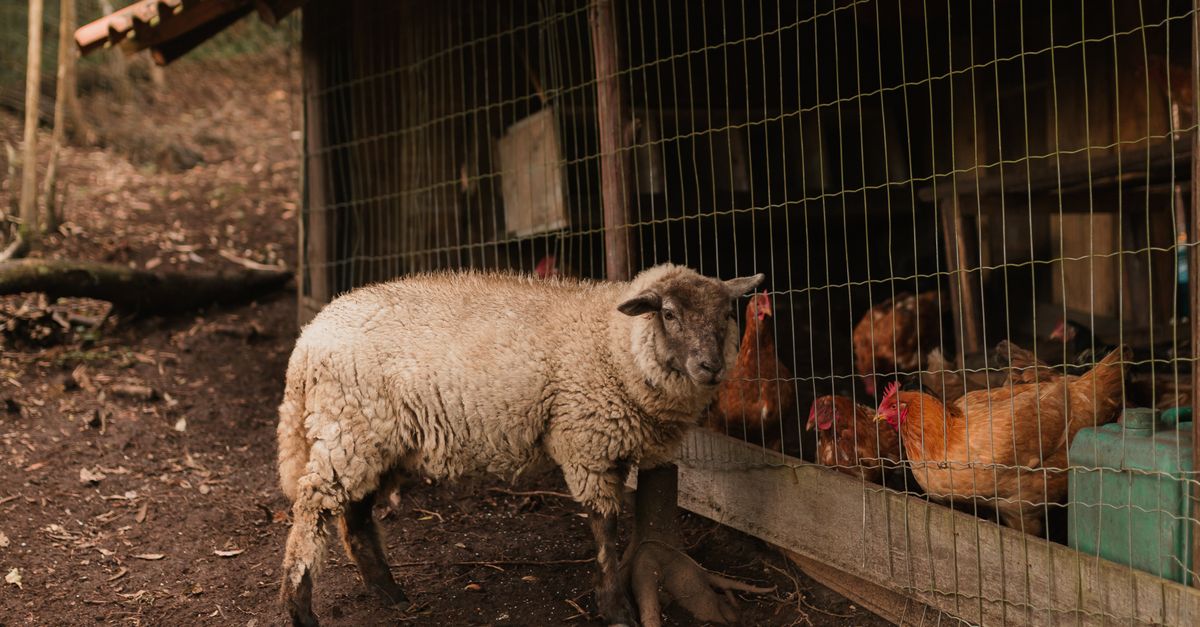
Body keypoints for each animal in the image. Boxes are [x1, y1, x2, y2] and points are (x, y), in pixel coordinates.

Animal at [276, 263, 764, 626]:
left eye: (726, 314)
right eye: (668, 314)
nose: (711, 366)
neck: (612, 343)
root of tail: (307, 338)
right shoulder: (585, 441)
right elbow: (604, 527)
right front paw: (615, 609)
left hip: (379, 440)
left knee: (355, 515)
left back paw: (390, 594)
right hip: (351, 427)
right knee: (313, 504)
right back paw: (299, 606)